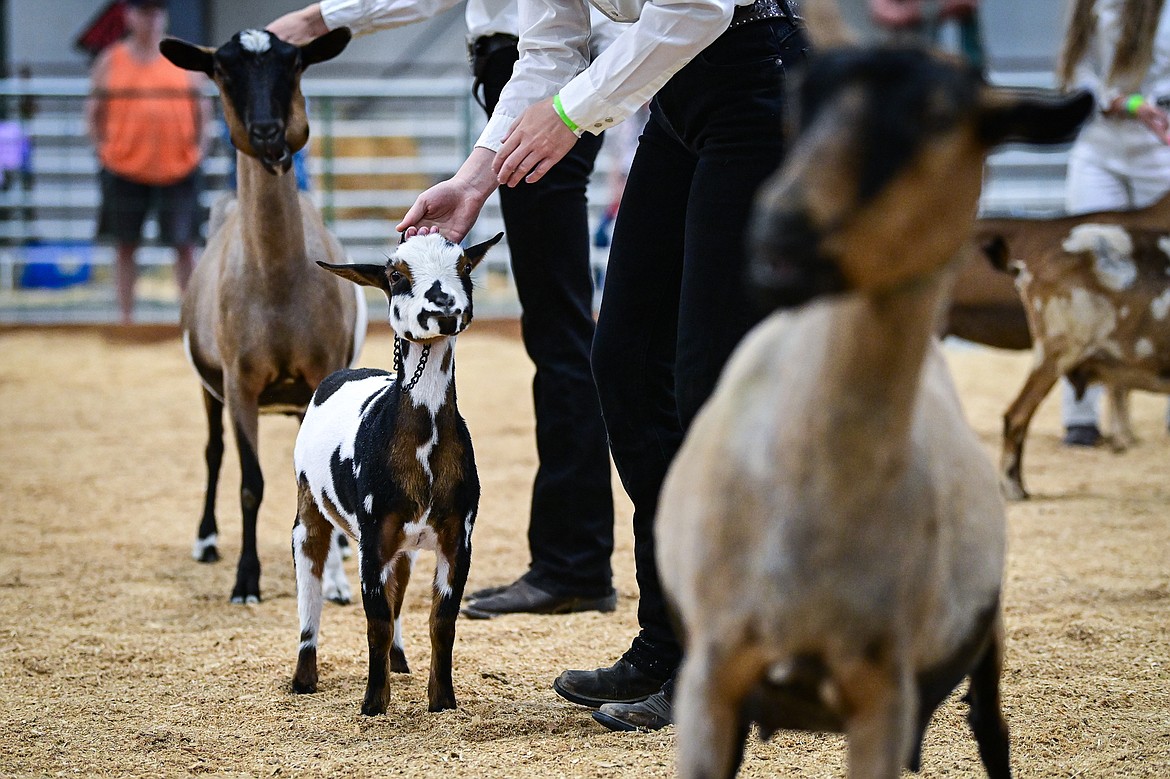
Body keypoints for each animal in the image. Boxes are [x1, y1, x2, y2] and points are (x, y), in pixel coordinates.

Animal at [290, 225, 500, 715]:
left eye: (465, 266)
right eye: (395, 275)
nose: (444, 306)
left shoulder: (456, 538)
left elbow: (442, 621)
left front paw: (443, 701)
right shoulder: (373, 538)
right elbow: (376, 622)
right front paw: (373, 704)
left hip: (405, 546)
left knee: (399, 592)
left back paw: (399, 662)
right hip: (309, 508)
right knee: (310, 584)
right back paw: (304, 677)